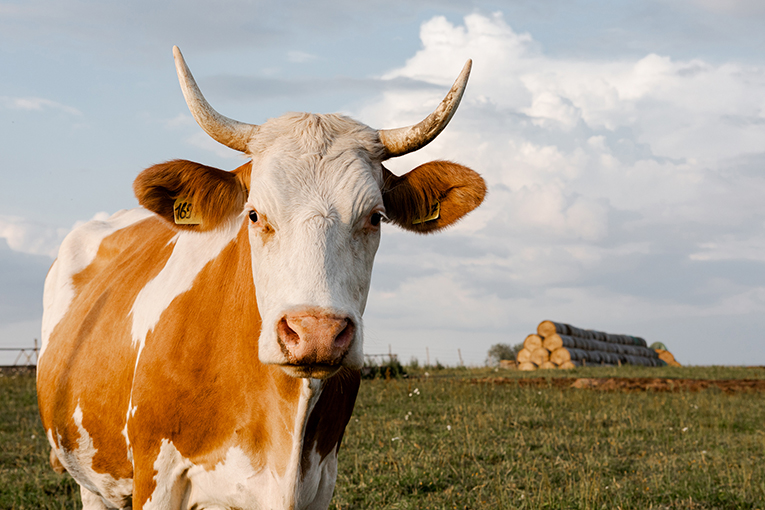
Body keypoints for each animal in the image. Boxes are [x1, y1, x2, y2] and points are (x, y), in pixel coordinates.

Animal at [37, 47, 484, 510]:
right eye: (253, 214)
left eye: (376, 217)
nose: (316, 333)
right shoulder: (158, 481)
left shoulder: (319, 483)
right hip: (93, 483)